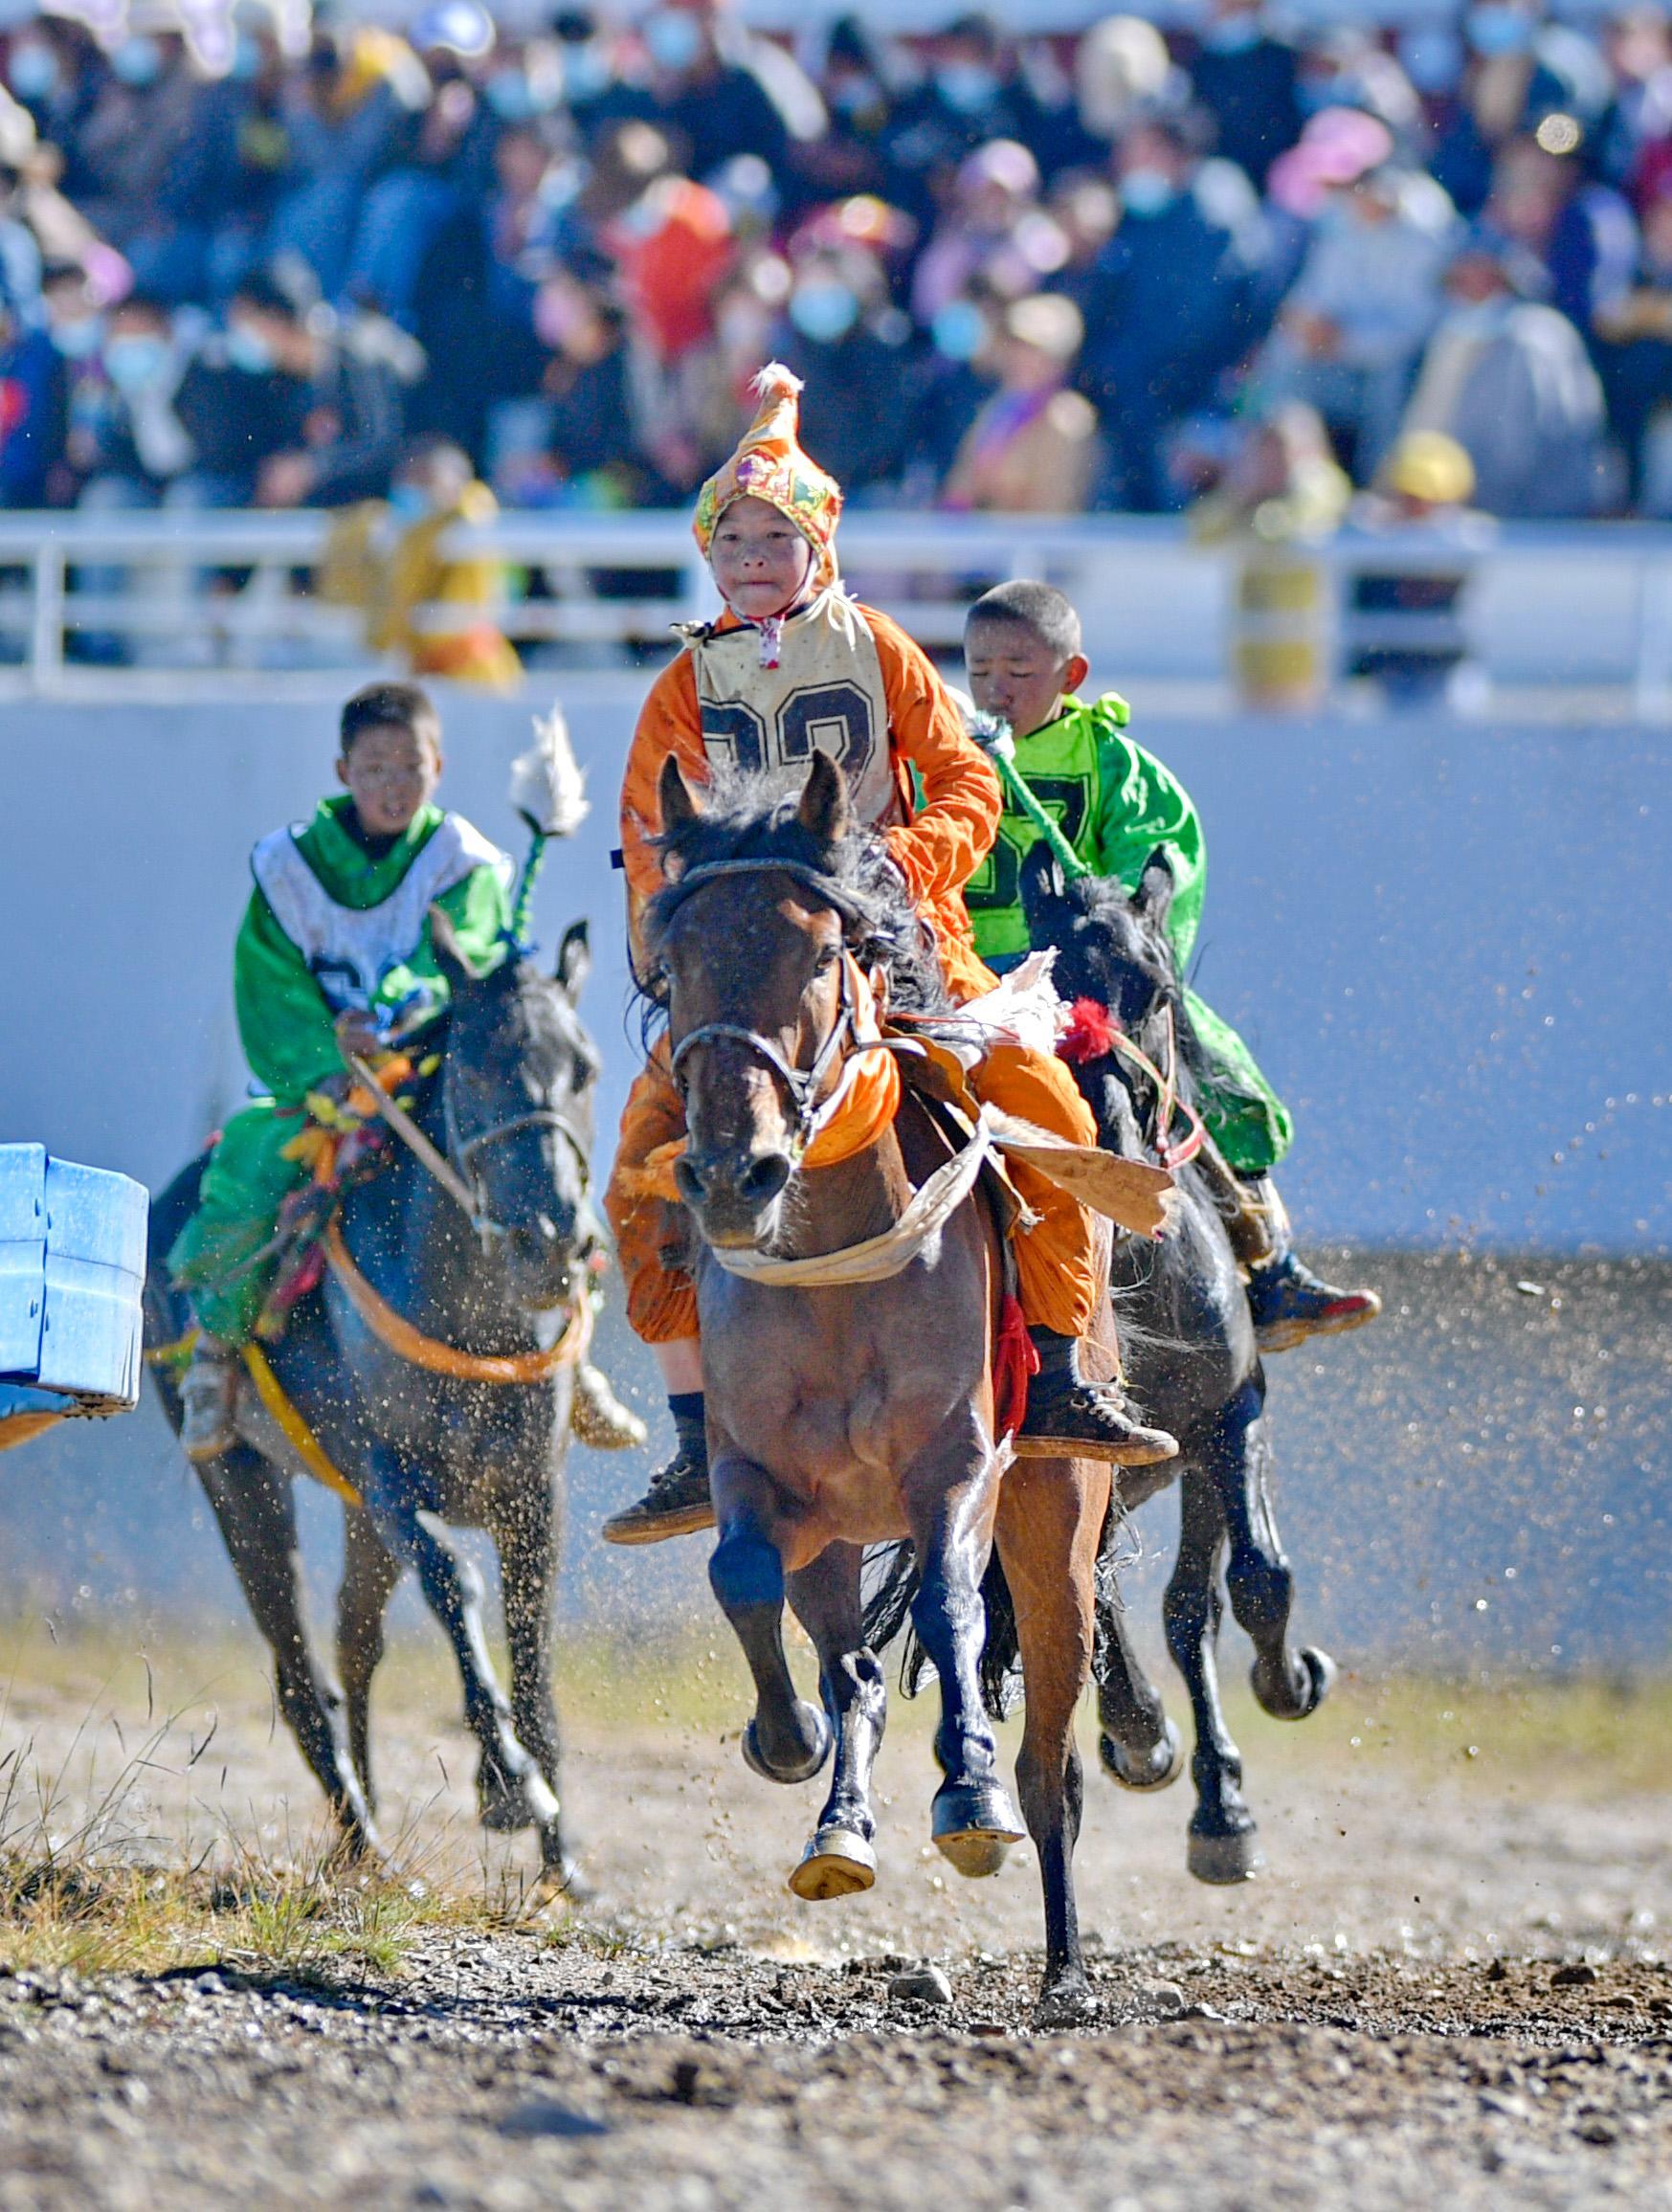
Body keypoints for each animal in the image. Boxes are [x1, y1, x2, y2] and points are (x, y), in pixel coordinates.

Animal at [145, 915, 601, 1884]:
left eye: (582, 1066)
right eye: (475, 1066)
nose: (551, 1239)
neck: (474, 1318)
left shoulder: (531, 1490)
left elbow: (532, 1644)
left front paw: (559, 1856)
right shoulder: (390, 1475)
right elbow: (455, 1583)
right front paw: (508, 1780)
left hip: (352, 1515)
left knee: (354, 1640)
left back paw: (369, 1830)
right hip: (242, 1478)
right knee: (296, 1668)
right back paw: (363, 1835)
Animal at [645, 748, 1114, 2025]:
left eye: (820, 953)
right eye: (678, 957)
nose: (734, 1173)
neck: (835, 1261)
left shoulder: (953, 1464)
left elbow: (952, 1610)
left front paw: (969, 1798)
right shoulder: (764, 1475)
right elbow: (745, 1577)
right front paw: (787, 1737)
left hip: (1057, 1521)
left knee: (1054, 1754)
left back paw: (1061, 1958)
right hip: (838, 1534)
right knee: (848, 1659)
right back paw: (838, 1832)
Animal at [1016, 844, 1335, 1884]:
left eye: (1153, 984)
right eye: (1044, 980)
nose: (1107, 1127)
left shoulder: (1229, 1413)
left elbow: (1243, 1584)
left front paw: (1286, 1688)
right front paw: (1142, 1731)